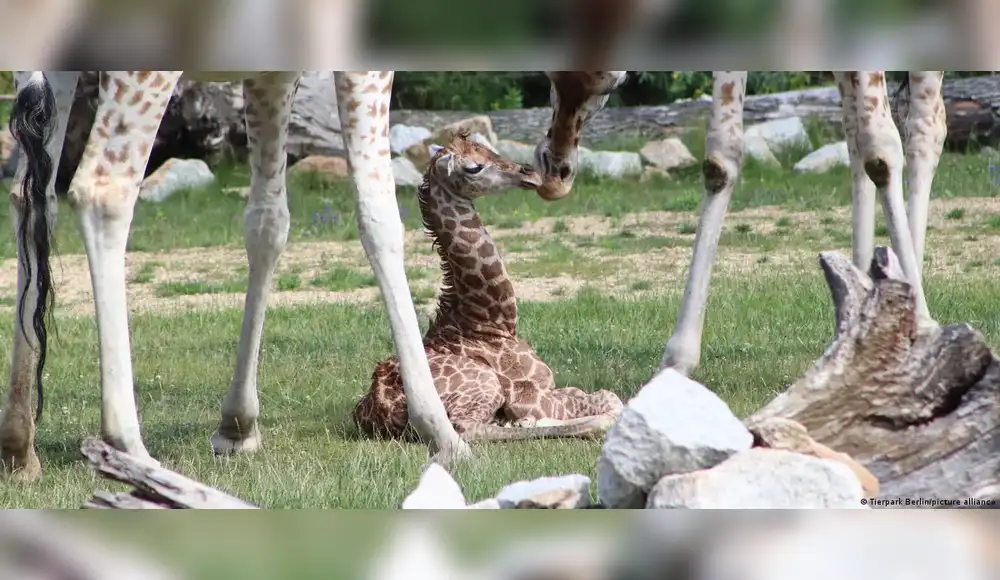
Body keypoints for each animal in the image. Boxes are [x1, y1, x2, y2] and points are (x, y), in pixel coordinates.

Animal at [2, 70, 469, 482]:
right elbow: (380, 215)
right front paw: (441, 432)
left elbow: (267, 222)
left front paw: (237, 426)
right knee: (103, 191)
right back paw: (128, 449)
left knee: (33, 194)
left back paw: (20, 446)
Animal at [353, 131, 624, 442]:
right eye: (474, 167)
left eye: (489, 149)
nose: (530, 173)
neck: (490, 321)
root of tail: (381, 410)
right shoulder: (532, 396)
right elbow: (610, 398)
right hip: (484, 385)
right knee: (467, 429)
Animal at [533, 70, 946, 377]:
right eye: (550, 78)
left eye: (609, 86)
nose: (554, 170)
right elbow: (721, 157)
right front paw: (677, 361)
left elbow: (882, 148)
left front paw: (923, 325)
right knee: (854, 130)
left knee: (926, 124)